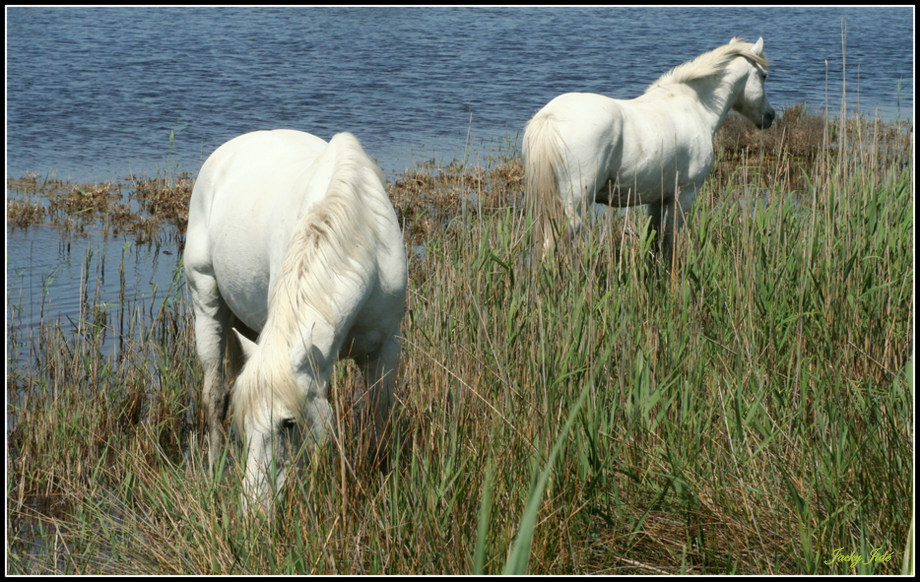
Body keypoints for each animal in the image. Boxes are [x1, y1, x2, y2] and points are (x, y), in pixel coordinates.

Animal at [183, 130, 406, 512]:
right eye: (244, 425)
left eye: (288, 423)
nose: (254, 513)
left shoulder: (385, 349)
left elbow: (378, 417)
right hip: (206, 300)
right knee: (213, 397)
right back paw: (213, 477)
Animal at [524, 34, 776, 258]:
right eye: (763, 76)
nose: (770, 116)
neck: (695, 107)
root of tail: (549, 117)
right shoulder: (685, 195)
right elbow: (670, 241)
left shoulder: (657, 199)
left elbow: (653, 239)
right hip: (575, 204)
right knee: (553, 247)